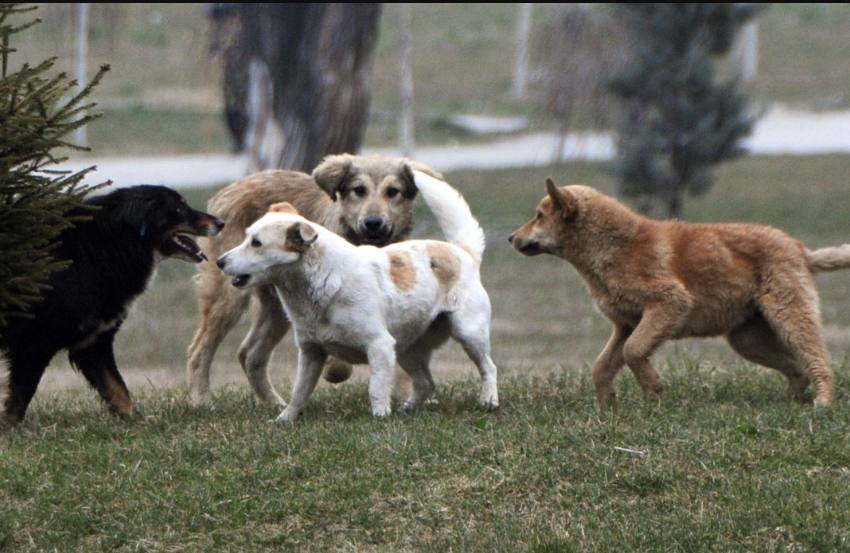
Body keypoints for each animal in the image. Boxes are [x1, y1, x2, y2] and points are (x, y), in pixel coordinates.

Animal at [2, 185, 222, 422]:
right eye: (180, 209)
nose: (220, 223)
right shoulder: (34, 342)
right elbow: (21, 396)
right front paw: (11, 427)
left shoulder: (93, 343)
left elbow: (117, 388)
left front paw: (136, 421)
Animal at [186, 155, 438, 406]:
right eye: (359, 190)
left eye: (392, 191)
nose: (373, 223)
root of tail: (227, 190)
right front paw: (336, 370)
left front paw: (406, 396)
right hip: (228, 297)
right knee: (199, 350)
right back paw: (202, 401)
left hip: (276, 307)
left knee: (250, 355)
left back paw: (275, 403)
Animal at [215, 170, 500, 420]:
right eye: (247, 237)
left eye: (257, 243)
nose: (219, 261)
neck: (324, 284)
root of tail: (462, 252)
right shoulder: (310, 353)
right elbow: (299, 391)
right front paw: (285, 419)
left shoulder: (379, 346)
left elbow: (376, 389)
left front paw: (380, 417)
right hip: (407, 349)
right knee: (425, 383)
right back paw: (407, 410)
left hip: (468, 332)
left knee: (488, 368)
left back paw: (488, 401)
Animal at [506, 179, 844, 408]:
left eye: (539, 215)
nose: (510, 237)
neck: (614, 247)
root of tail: (802, 251)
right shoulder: (625, 325)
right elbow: (602, 366)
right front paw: (608, 405)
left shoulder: (670, 302)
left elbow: (633, 352)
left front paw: (652, 391)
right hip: (748, 339)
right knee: (798, 368)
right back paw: (789, 399)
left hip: (789, 315)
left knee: (819, 361)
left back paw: (823, 402)